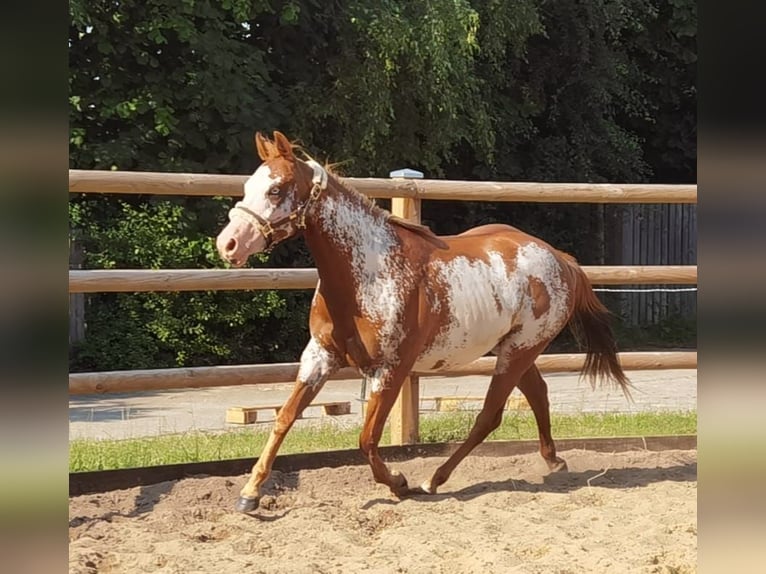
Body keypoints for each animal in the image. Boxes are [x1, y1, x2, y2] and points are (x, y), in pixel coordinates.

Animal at [214, 130, 632, 512]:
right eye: (248, 186)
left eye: (276, 189)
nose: (228, 244)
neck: (367, 275)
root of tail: (560, 259)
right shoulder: (320, 356)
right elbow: (285, 418)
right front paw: (249, 493)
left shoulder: (392, 368)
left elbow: (367, 439)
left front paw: (399, 483)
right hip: (515, 349)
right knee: (538, 394)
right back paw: (553, 461)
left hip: (520, 350)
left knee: (489, 415)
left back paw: (434, 480)